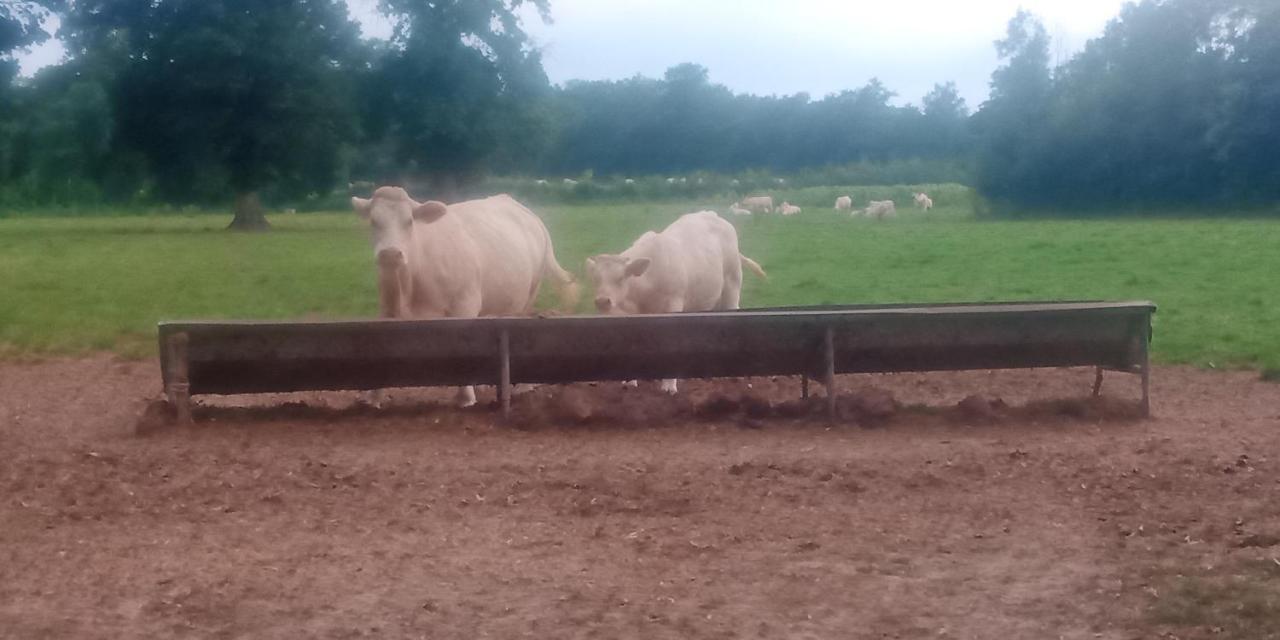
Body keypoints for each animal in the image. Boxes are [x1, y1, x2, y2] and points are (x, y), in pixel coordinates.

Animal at [353, 186, 578, 404]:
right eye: (373, 221)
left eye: (409, 221)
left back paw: (523, 387)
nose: (390, 254)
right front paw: (374, 397)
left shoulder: (465, 304)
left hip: (529, 294)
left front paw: (465, 397)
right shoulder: (388, 307)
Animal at [586, 209, 762, 394]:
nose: (602, 301)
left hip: (732, 282)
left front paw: (669, 385)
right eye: (595, 279)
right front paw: (630, 380)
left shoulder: (674, 303)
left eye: (620, 278)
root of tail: (711, 214)